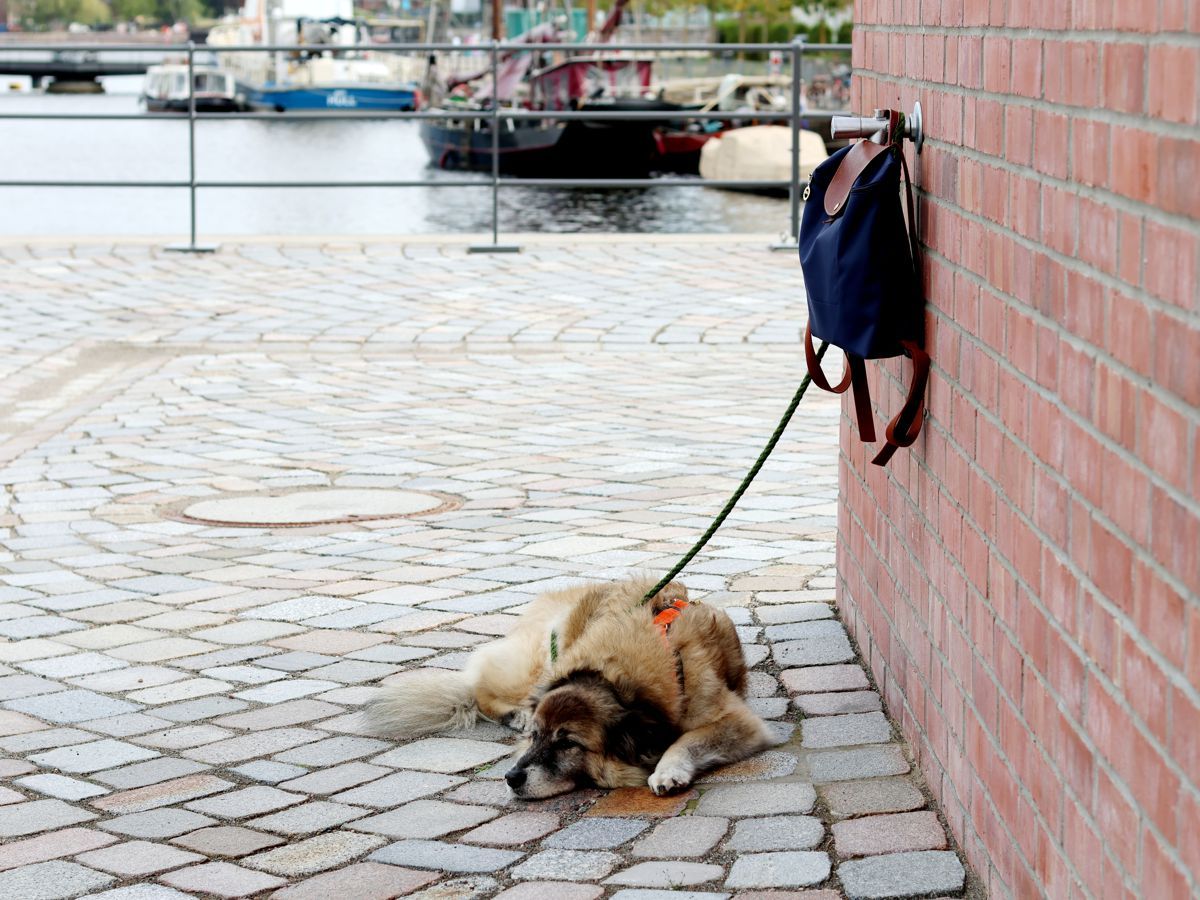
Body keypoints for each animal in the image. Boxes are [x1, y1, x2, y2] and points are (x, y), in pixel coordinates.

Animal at [367, 573, 777, 801]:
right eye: (536, 737)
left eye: (568, 744)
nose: (511, 778)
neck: (613, 677)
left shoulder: (736, 721)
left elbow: (686, 739)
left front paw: (667, 769)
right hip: (533, 662)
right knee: (480, 687)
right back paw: (514, 712)